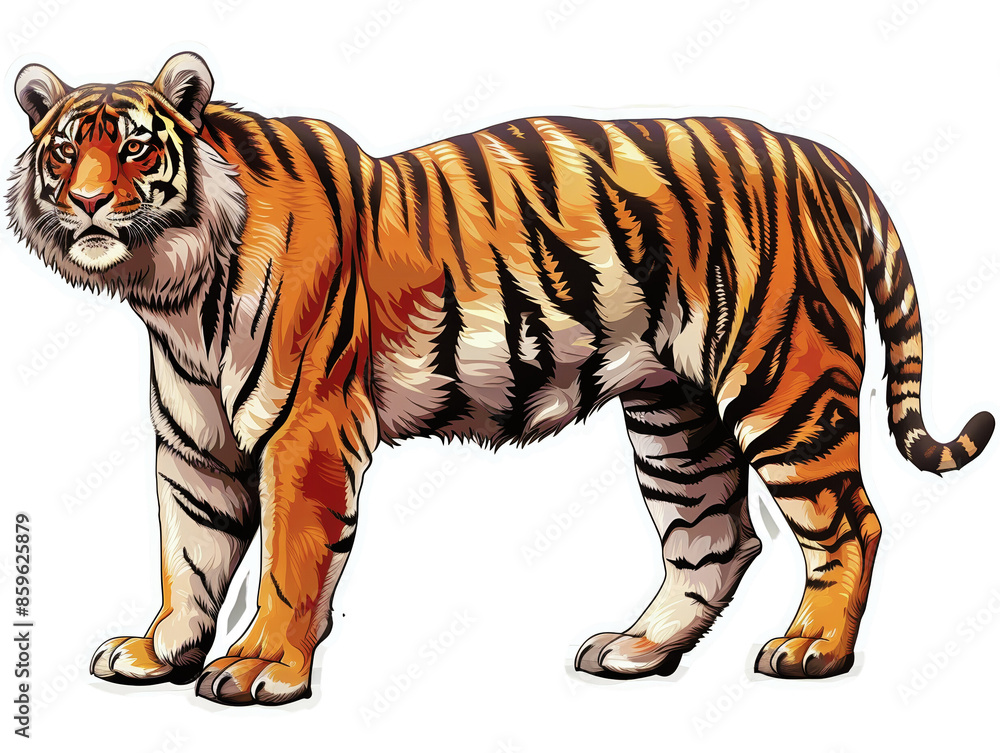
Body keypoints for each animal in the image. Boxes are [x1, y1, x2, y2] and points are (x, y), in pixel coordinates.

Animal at [8, 52, 994, 707]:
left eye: (137, 150)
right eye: (64, 152)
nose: (87, 201)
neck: (172, 290)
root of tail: (817, 154)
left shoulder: (306, 430)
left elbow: (288, 561)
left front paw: (259, 668)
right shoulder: (193, 445)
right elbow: (190, 553)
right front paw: (159, 651)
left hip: (784, 384)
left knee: (849, 523)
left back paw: (812, 649)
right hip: (674, 413)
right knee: (715, 538)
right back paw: (637, 649)